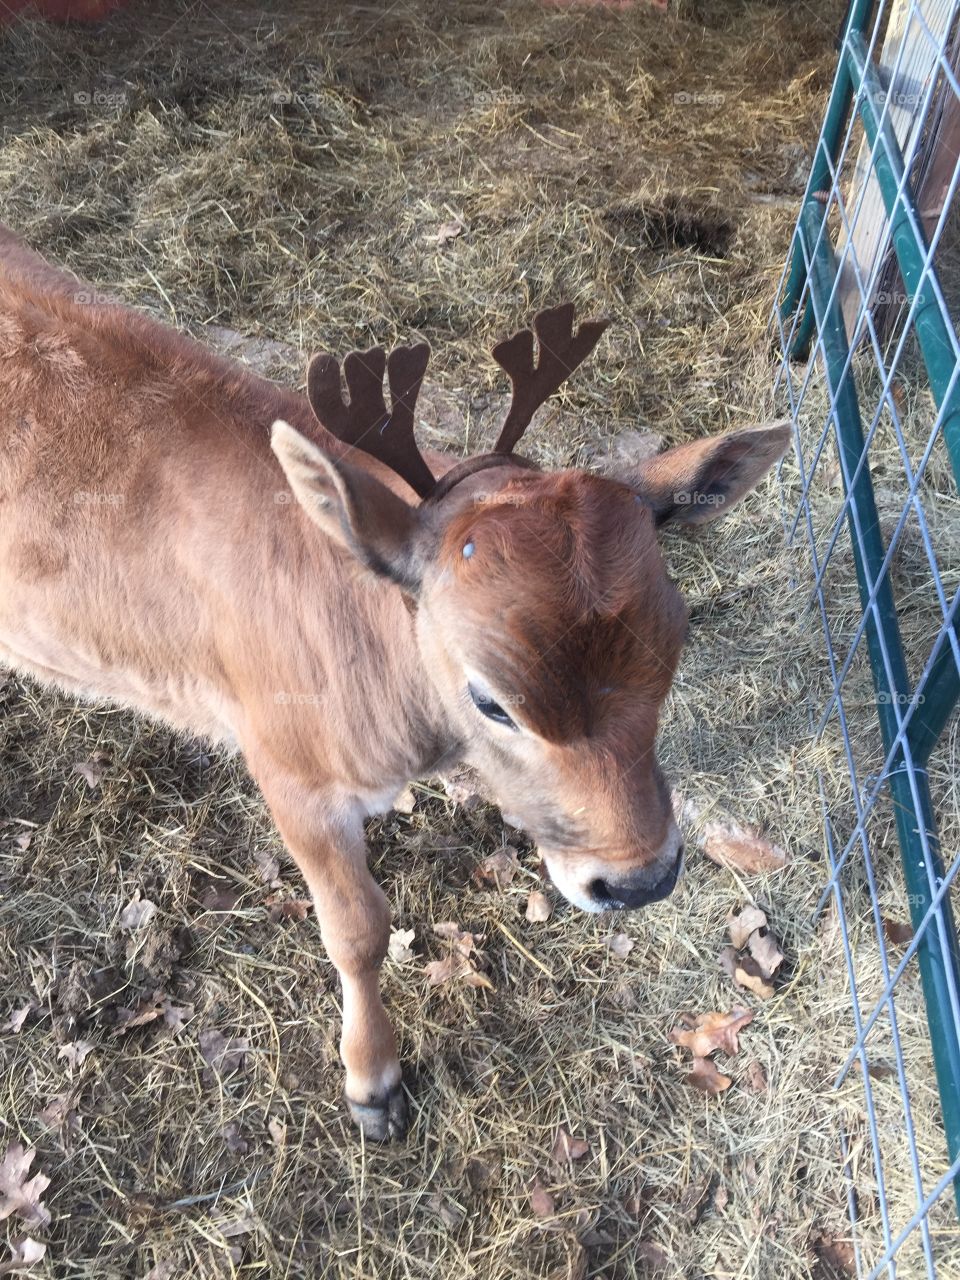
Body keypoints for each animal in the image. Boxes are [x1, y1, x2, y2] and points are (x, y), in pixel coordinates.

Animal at [0, 225, 789, 1139]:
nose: (642, 879)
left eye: (676, 636)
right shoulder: (289, 770)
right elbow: (358, 931)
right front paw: (372, 1086)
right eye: (490, 698)